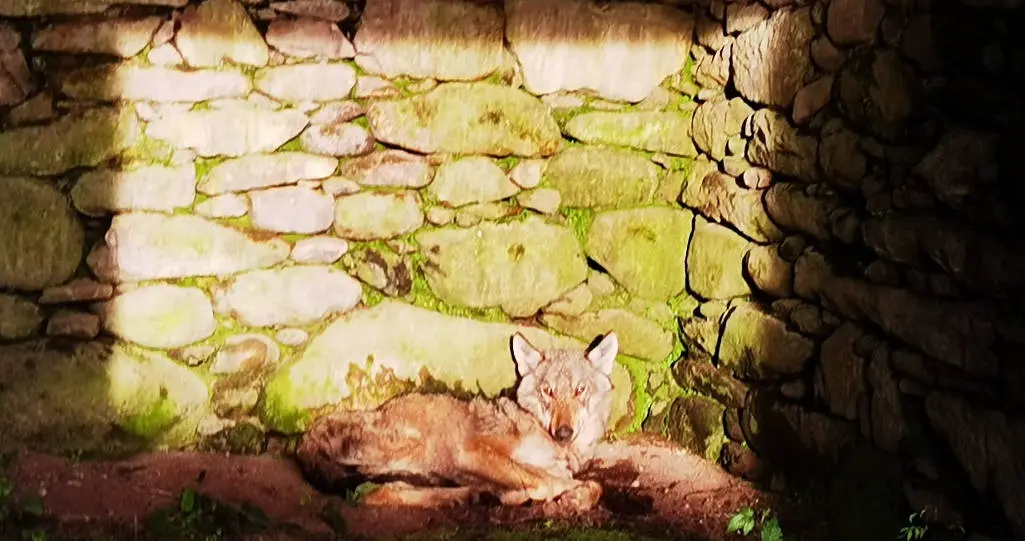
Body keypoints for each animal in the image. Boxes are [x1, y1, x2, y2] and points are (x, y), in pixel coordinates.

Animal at [295, 331, 619, 510]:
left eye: (580, 390)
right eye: (548, 391)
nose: (564, 432)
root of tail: (305, 439)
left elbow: (593, 485)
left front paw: (577, 497)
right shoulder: (471, 450)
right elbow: (545, 480)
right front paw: (530, 494)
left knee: (391, 488)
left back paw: (468, 495)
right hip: (414, 447)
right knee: (375, 493)